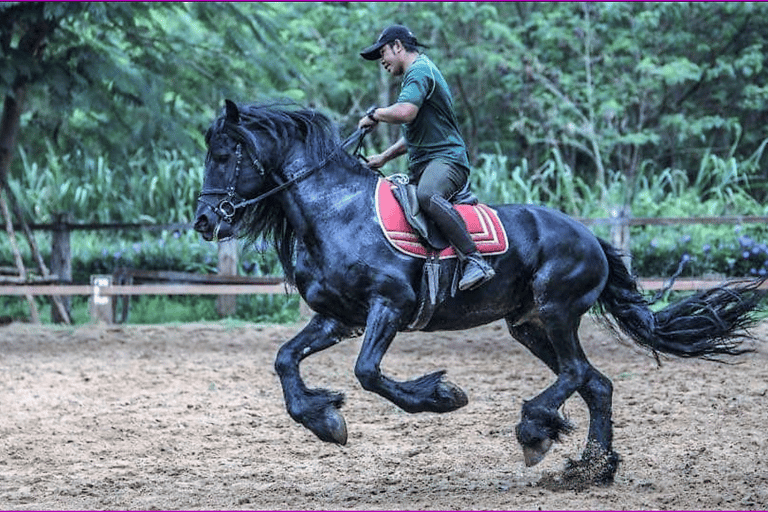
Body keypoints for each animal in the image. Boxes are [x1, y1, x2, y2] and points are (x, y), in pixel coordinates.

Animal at [196, 100, 760, 488]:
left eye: (223, 155)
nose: (204, 221)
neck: (337, 212)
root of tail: (590, 236)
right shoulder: (338, 318)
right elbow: (285, 359)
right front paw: (324, 419)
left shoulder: (390, 307)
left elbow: (368, 372)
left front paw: (441, 397)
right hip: (528, 324)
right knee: (595, 383)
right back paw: (592, 468)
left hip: (556, 310)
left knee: (577, 373)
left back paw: (536, 431)